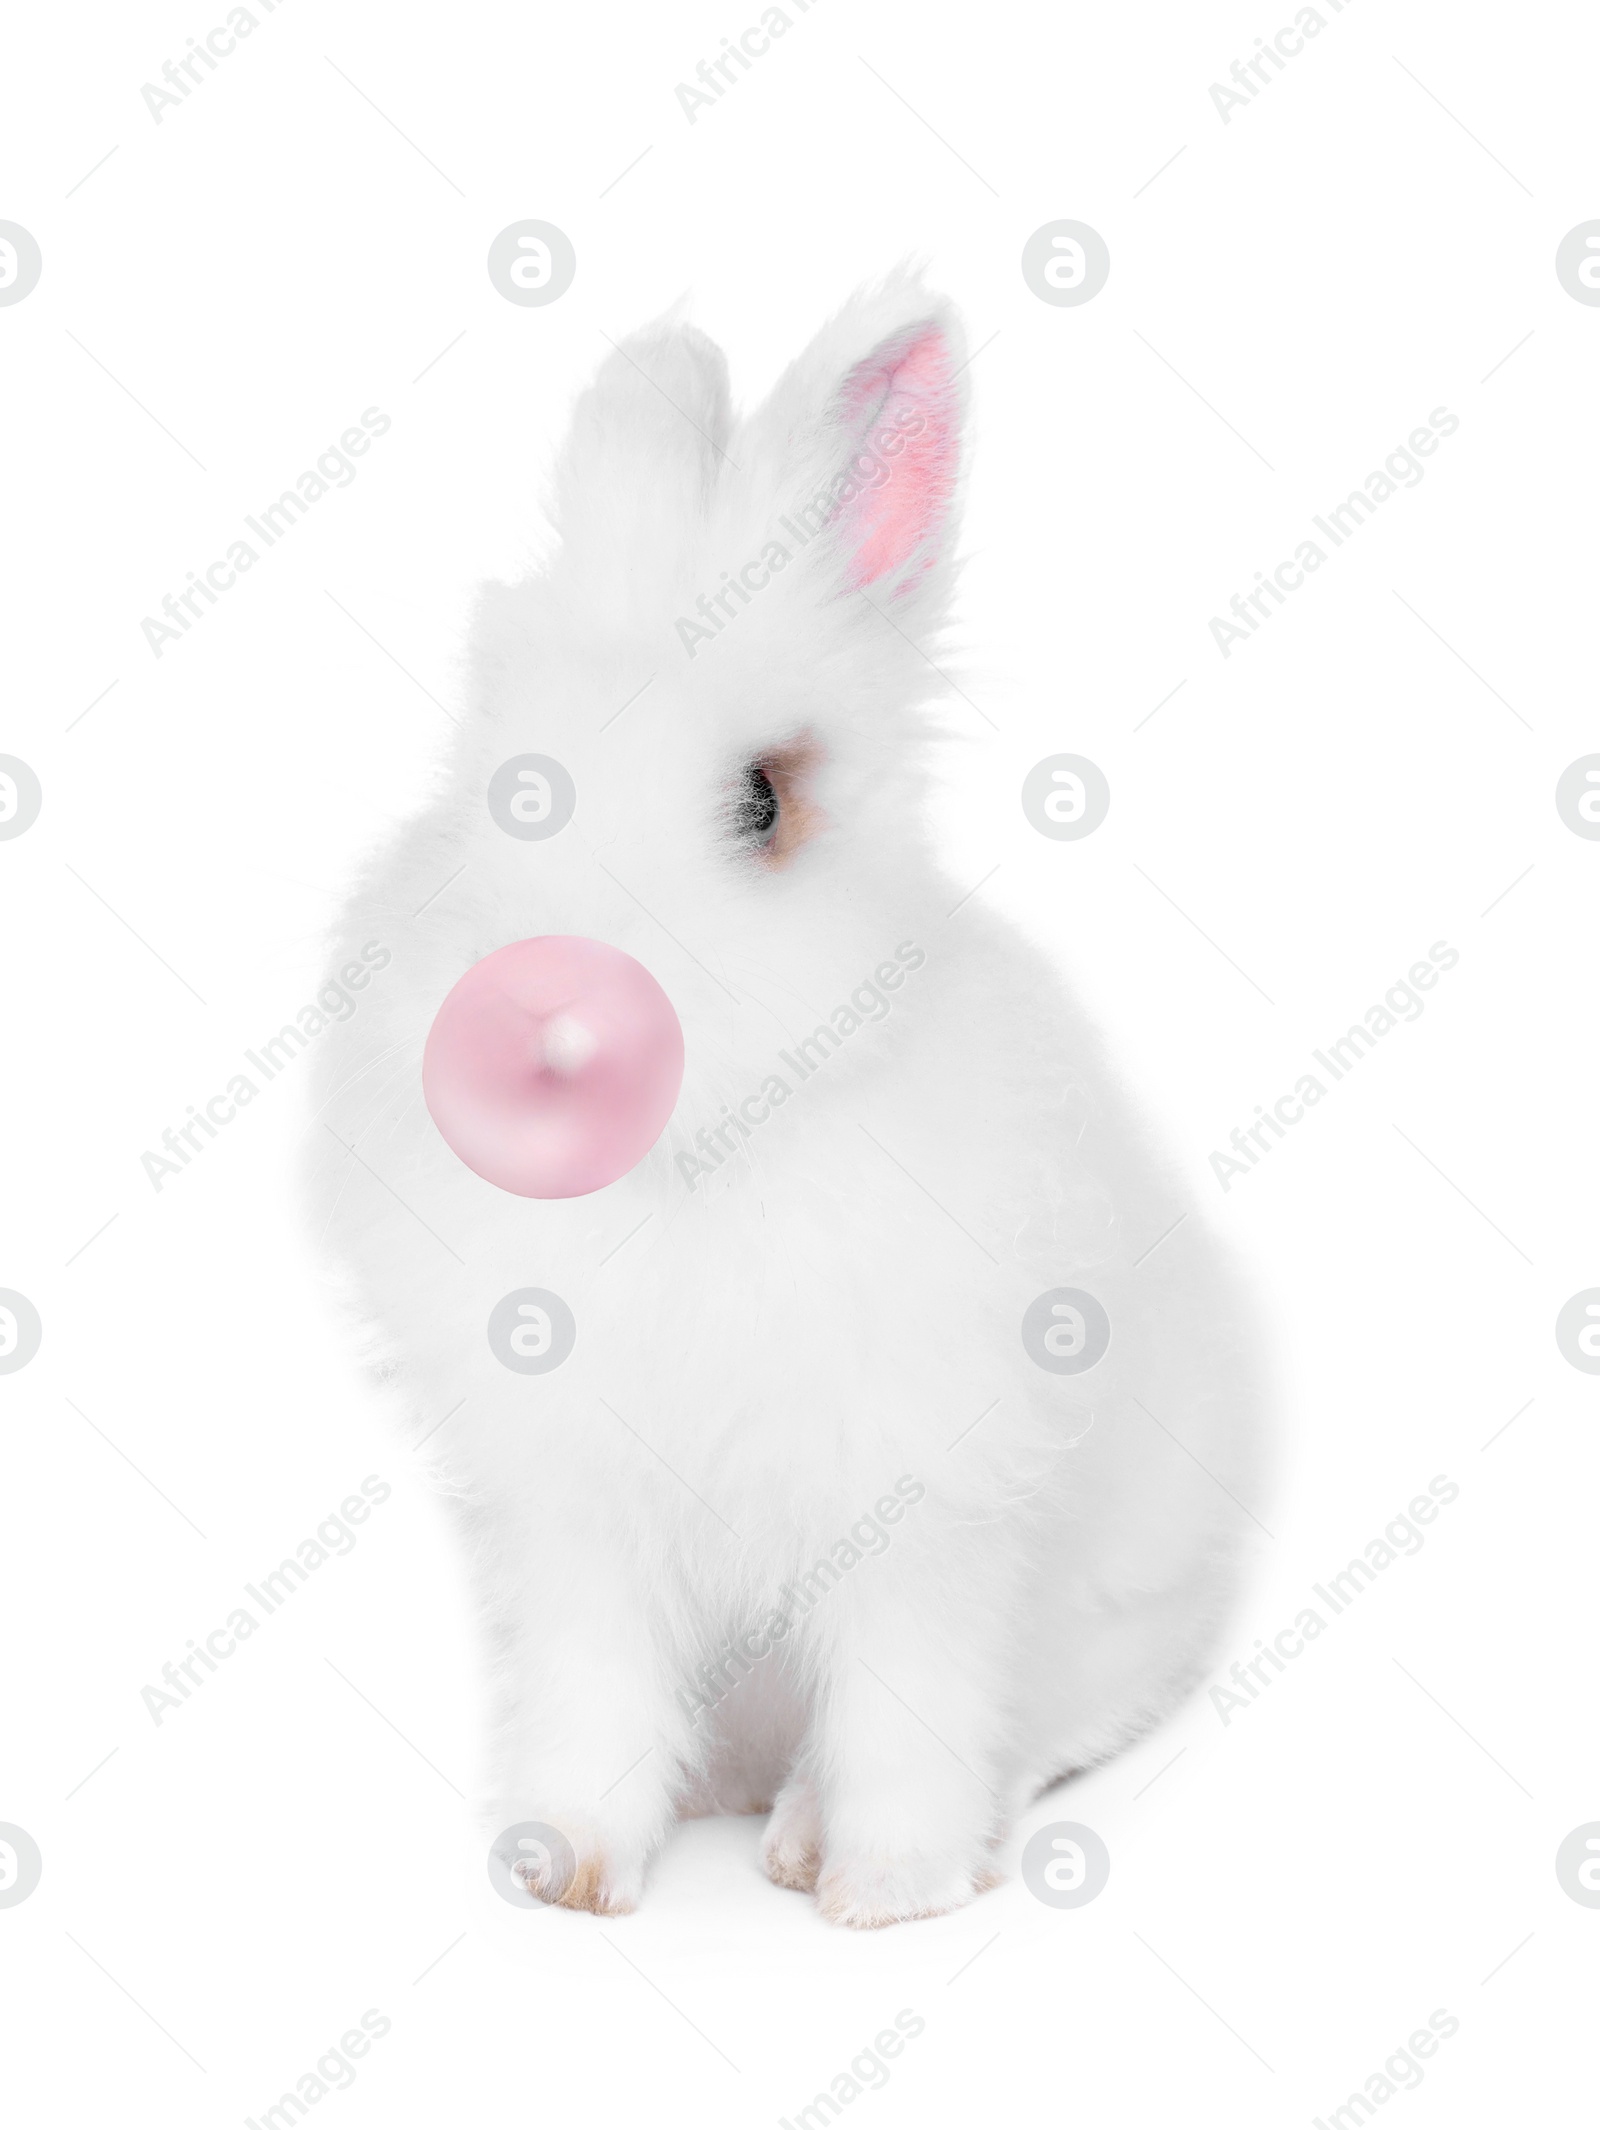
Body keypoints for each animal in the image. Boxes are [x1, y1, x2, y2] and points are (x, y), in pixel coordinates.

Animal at [308, 270, 1261, 1934]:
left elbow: (909, 1699)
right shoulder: (576, 1519)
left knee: (1052, 1720)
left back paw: (819, 1830)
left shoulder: (928, 1509)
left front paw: (885, 1888)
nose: (537, 994)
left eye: (760, 799)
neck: (699, 1167)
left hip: (1117, 1602)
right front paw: (563, 1870)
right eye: (496, 767)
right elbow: (594, 1698)